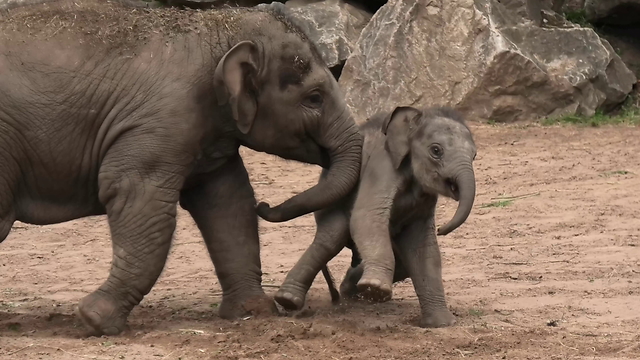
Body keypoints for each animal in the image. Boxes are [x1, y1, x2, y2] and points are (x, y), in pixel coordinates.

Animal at [0, 0, 362, 338]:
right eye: (314, 97)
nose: (267, 204)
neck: (217, 33)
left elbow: (228, 203)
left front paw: (252, 312)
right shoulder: (162, 124)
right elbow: (140, 200)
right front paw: (94, 320)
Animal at [272, 105, 478, 328]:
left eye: (474, 156)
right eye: (436, 151)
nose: (442, 229)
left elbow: (422, 245)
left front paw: (441, 324)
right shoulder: (382, 165)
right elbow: (367, 216)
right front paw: (376, 289)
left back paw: (349, 291)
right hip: (330, 203)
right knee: (331, 239)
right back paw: (289, 300)